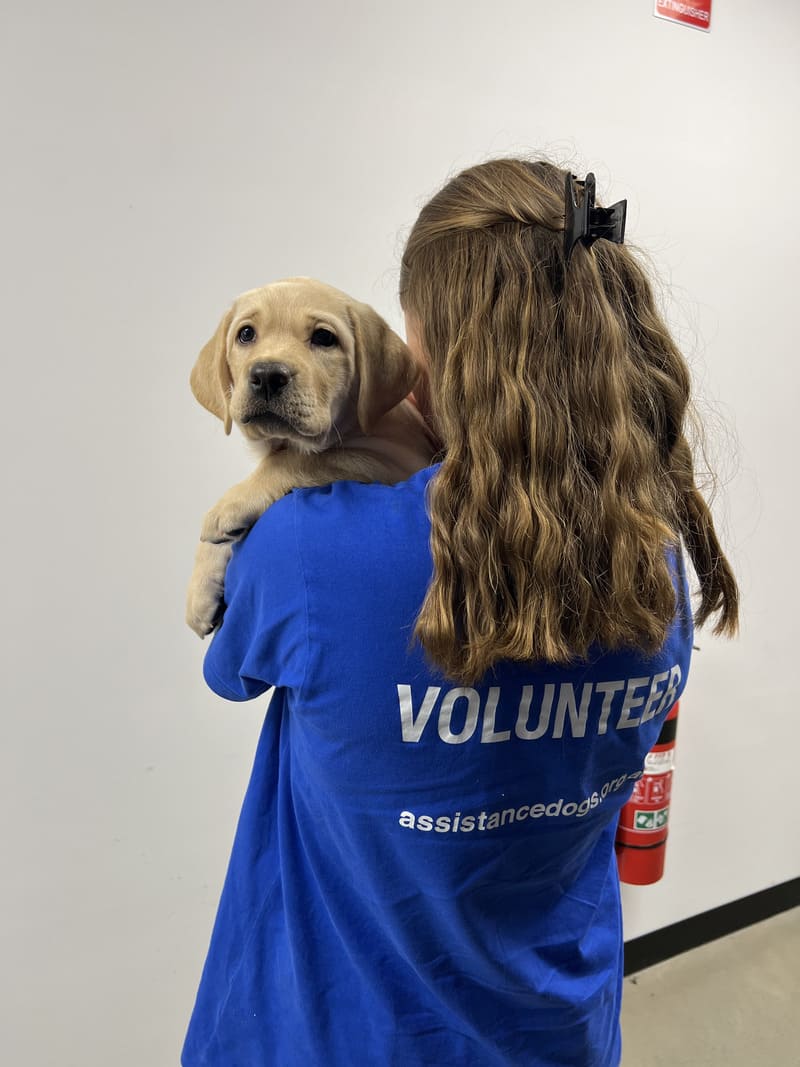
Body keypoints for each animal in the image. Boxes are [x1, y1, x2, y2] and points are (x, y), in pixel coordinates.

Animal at [186, 279, 439, 635]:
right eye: (246, 334)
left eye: (323, 338)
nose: (267, 375)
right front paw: (200, 587)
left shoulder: (396, 460)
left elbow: (304, 459)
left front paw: (230, 504)